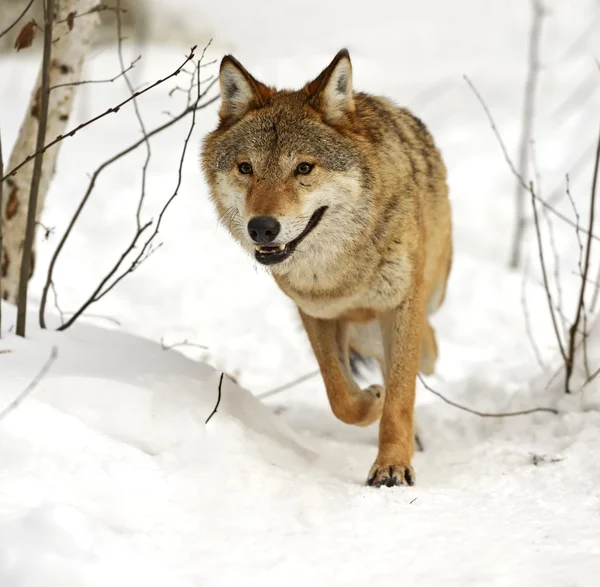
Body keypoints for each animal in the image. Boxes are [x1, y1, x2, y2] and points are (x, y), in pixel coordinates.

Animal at [202, 49, 450, 486]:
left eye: (304, 168)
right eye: (246, 168)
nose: (261, 227)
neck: (341, 272)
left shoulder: (402, 304)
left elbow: (400, 395)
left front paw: (392, 466)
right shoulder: (314, 312)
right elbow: (340, 396)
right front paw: (371, 400)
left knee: (425, 351)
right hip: (363, 332)